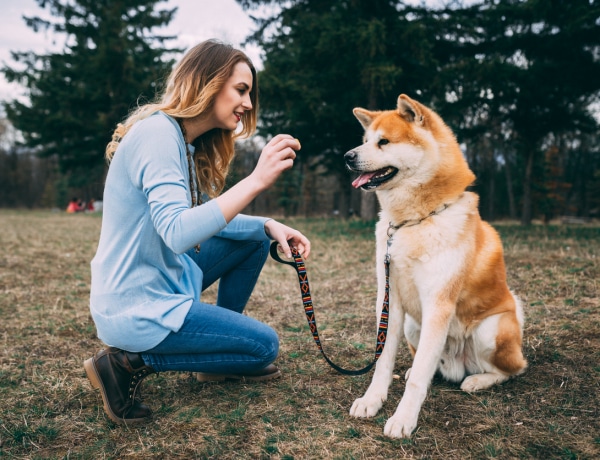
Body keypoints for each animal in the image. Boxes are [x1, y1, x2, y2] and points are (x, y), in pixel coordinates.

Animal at [344, 93, 528, 438]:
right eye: (364, 141)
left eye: (383, 142)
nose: (348, 156)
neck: (413, 221)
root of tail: (459, 365)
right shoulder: (389, 300)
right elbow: (384, 362)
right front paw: (372, 400)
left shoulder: (438, 304)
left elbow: (418, 380)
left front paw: (403, 419)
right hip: (413, 326)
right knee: (428, 364)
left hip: (491, 330)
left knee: (512, 370)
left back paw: (477, 380)